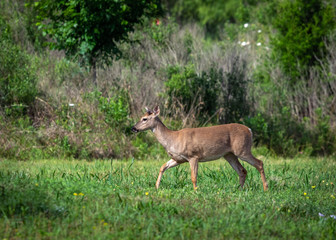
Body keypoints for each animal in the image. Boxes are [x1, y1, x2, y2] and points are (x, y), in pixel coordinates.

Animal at [133, 105, 270, 191]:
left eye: (144, 119)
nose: (133, 128)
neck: (172, 139)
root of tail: (249, 130)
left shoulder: (193, 156)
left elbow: (194, 176)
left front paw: (196, 191)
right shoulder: (179, 159)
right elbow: (162, 167)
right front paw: (156, 187)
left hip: (242, 149)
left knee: (259, 163)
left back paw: (265, 188)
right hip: (229, 154)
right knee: (242, 170)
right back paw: (239, 190)